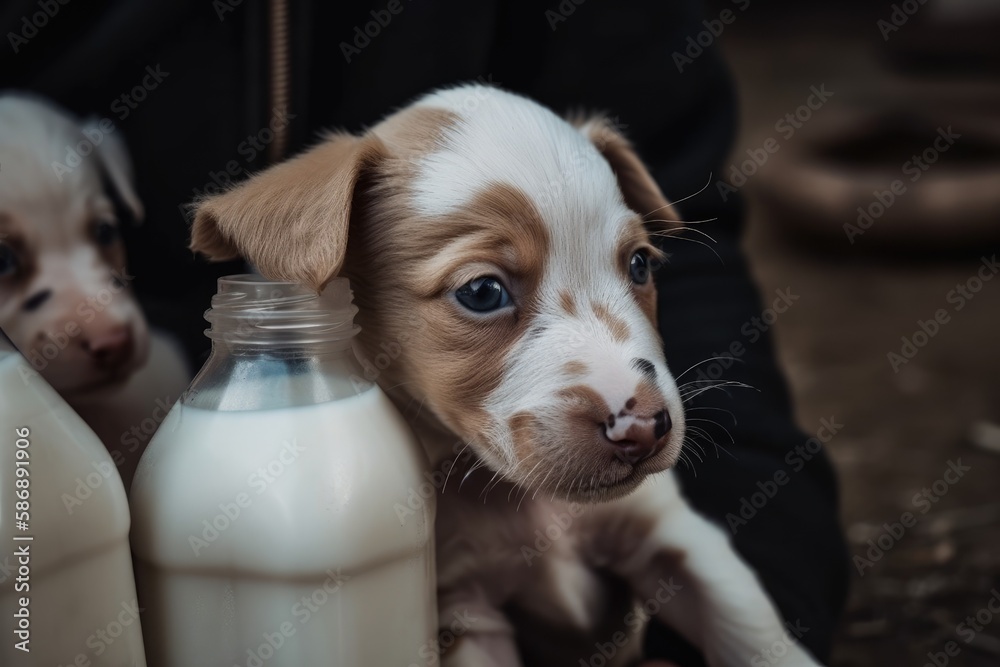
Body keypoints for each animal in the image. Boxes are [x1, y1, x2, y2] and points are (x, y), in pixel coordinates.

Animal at [189, 86, 820, 664]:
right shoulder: (466, 613)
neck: (519, 505)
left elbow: (755, 636)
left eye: (639, 264)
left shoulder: (673, 538)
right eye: (482, 292)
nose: (642, 426)